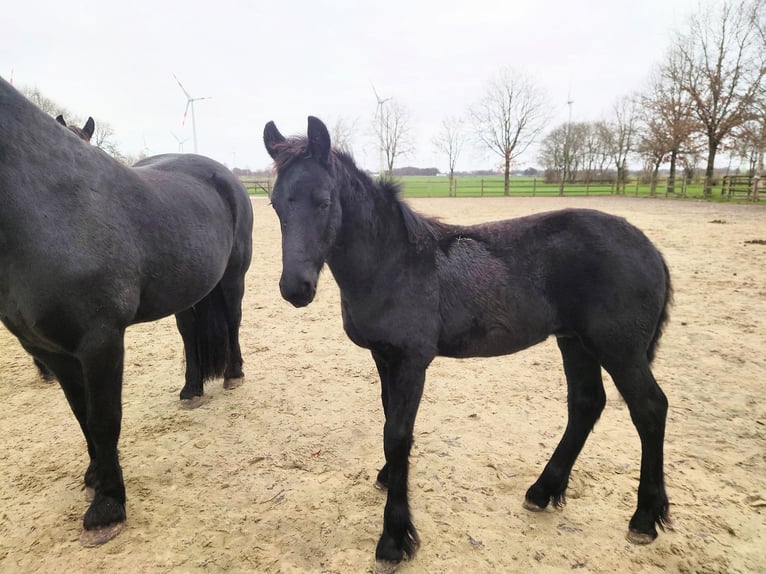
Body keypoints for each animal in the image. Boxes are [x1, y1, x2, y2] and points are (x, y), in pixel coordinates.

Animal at [0, 77, 258, 548]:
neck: (46, 205)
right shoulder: (52, 350)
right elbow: (82, 418)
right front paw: (95, 477)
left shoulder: (100, 340)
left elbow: (104, 419)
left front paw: (108, 507)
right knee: (190, 334)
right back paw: (192, 389)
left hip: (232, 279)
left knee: (232, 323)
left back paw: (233, 375)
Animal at [268, 117, 676, 574]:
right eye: (275, 206)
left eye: (323, 202)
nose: (296, 289)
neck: (394, 262)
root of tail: (650, 247)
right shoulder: (383, 356)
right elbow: (389, 420)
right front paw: (390, 477)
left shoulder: (412, 361)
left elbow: (398, 434)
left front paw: (394, 538)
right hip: (576, 342)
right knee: (587, 403)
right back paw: (543, 491)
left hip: (619, 349)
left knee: (649, 408)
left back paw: (644, 518)